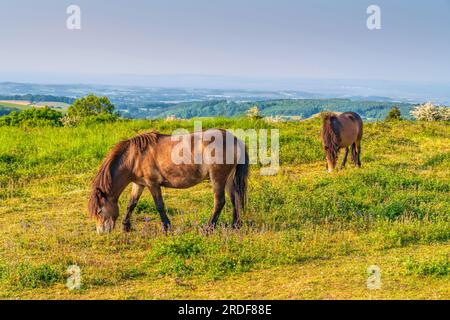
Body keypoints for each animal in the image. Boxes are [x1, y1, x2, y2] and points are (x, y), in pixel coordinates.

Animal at [88, 129, 250, 234]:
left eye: (99, 211)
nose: (101, 232)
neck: (134, 157)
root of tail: (235, 139)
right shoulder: (139, 184)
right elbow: (131, 204)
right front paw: (126, 227)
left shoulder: (152, 184)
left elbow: (159, 205)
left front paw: (166, 227)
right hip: (228, 179)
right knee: (235, 198)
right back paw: (235, 225)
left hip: (217, 178)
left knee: (220, 201)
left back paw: (208, 228)